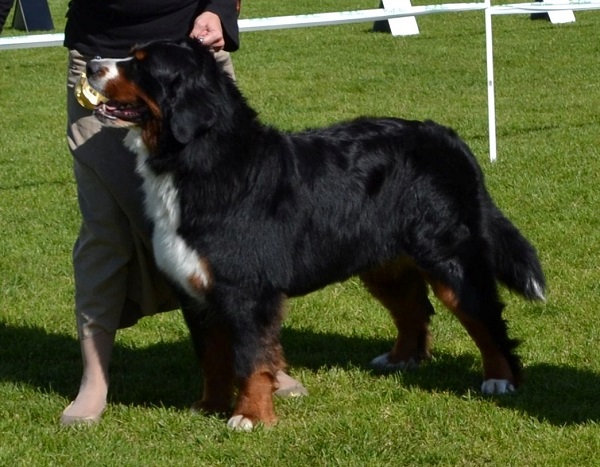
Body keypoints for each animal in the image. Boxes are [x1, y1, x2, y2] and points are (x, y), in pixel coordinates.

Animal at [86, 38, 545, 430]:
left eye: (141, 64)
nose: (91, 65)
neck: (199, 160)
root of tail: (447, 137)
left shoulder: (245, 290)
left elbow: (249, 358)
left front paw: (250, 416)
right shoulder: (196, 291)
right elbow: (213, 359)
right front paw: (210, 406)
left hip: (450, 256)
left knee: (483, 315)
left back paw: (500, 379)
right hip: (382, 263)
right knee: (413, 308)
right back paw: (400, 359)